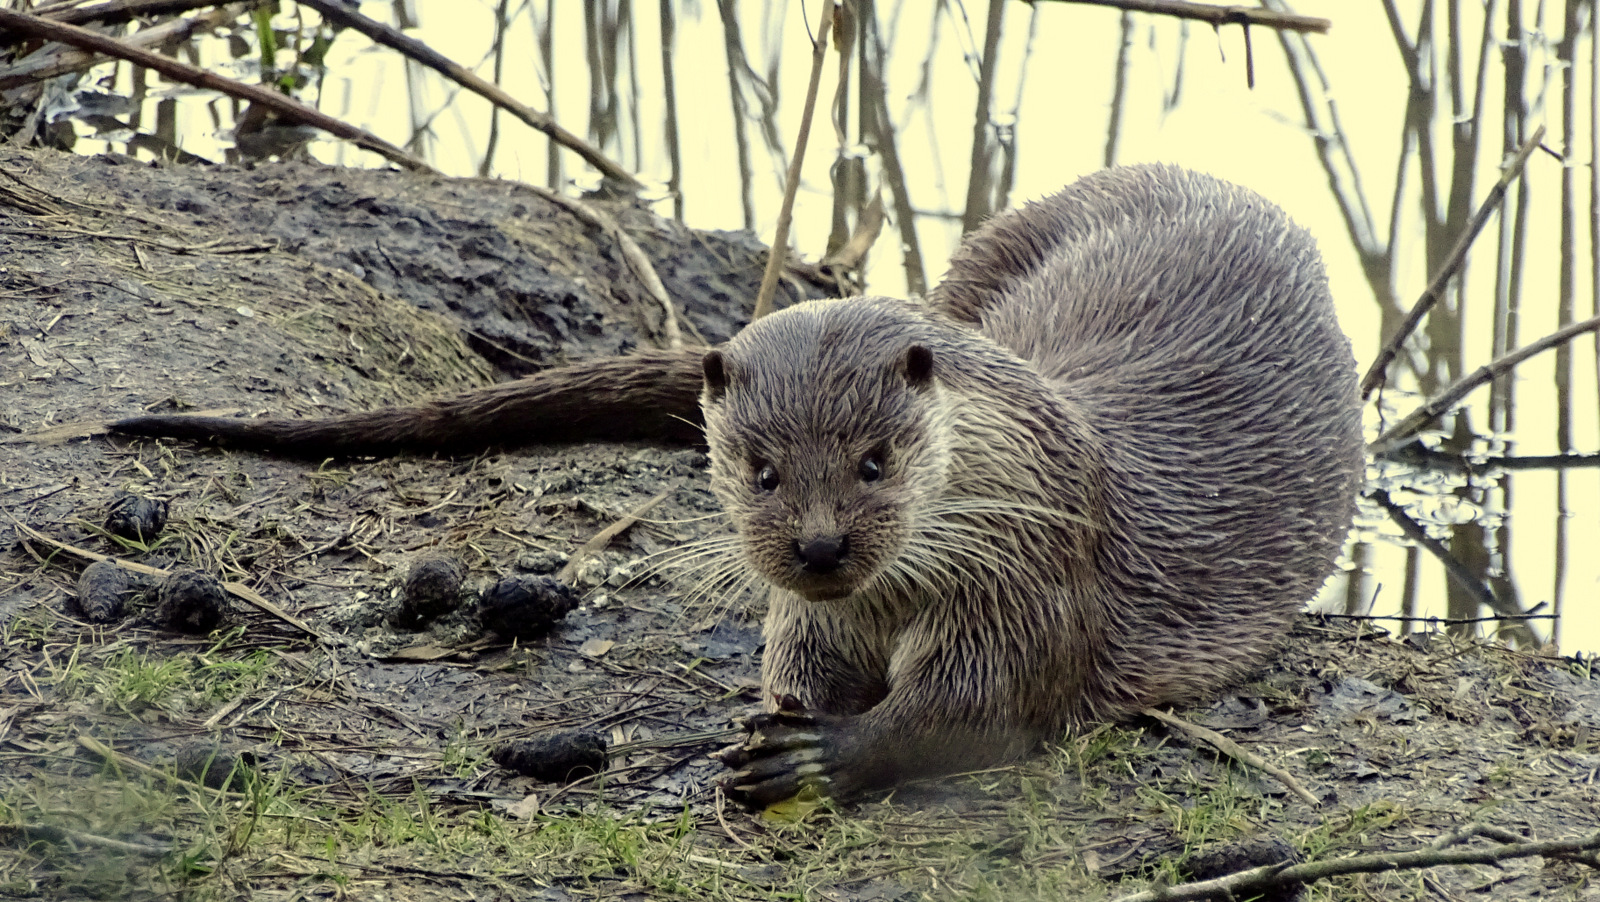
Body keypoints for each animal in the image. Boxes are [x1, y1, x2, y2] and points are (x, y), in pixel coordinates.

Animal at [112, 165, 1363, 806]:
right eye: (759, 468)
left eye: (875, 459)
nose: (817, 546)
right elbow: (797, 654)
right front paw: (775, 714)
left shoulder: (1036, 576)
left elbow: (976, 710)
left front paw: (819, 753)